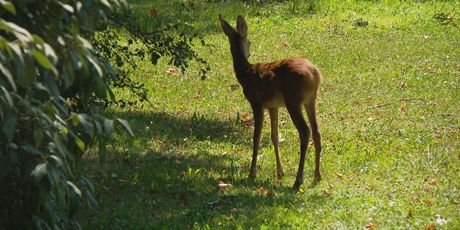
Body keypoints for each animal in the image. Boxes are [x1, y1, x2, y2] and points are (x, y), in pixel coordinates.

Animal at [220, 15, 324, 190]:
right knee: (316, 131)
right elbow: (274, 136)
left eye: (249, 42)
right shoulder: (273, 106)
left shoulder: (256, 102)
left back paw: (298, 180)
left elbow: (257, 137)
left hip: (293, 100)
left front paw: (252, 173)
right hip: (310, 100)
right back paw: (317, 176)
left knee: (305, 131)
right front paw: (280, 172)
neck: (245, 74)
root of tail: (315, 74)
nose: (249, 52)